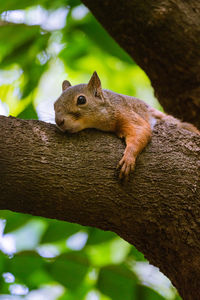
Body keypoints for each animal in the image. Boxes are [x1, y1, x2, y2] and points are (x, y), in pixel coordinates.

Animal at [54, 71, 199, 179]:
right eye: (54, 104)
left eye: (81, 99)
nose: (59, 121)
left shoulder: (126, 112)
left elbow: (141, 130)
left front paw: (128, 159)